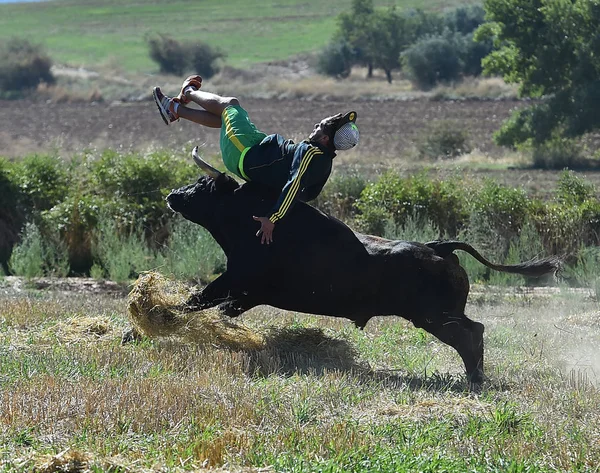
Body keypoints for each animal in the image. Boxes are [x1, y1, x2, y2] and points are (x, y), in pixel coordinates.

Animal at [163, 151, 556, 384]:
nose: (172, 196)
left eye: (202, 183)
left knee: (470, 333)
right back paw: (477, 375)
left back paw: (474, 378)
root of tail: (436, 248)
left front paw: (150, 321)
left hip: (434, 316)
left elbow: (194, 301)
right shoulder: (243, 292)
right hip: (441, 313)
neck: (251, 220)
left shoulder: (235, 281)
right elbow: (211, 306)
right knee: (475, 329)